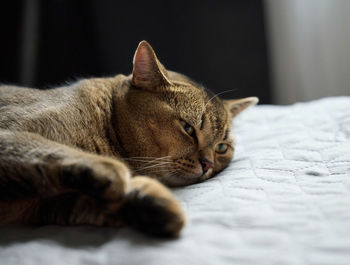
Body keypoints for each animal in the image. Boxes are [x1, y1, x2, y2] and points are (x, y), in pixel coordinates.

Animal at [0, 41, 258, 237]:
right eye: (188, 128)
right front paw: (118, 175)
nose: (208, 164)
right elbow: (51, 151)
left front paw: (156, 206)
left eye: (221, 147)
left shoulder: (49, 205)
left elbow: (93, 201)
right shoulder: (11, 134)